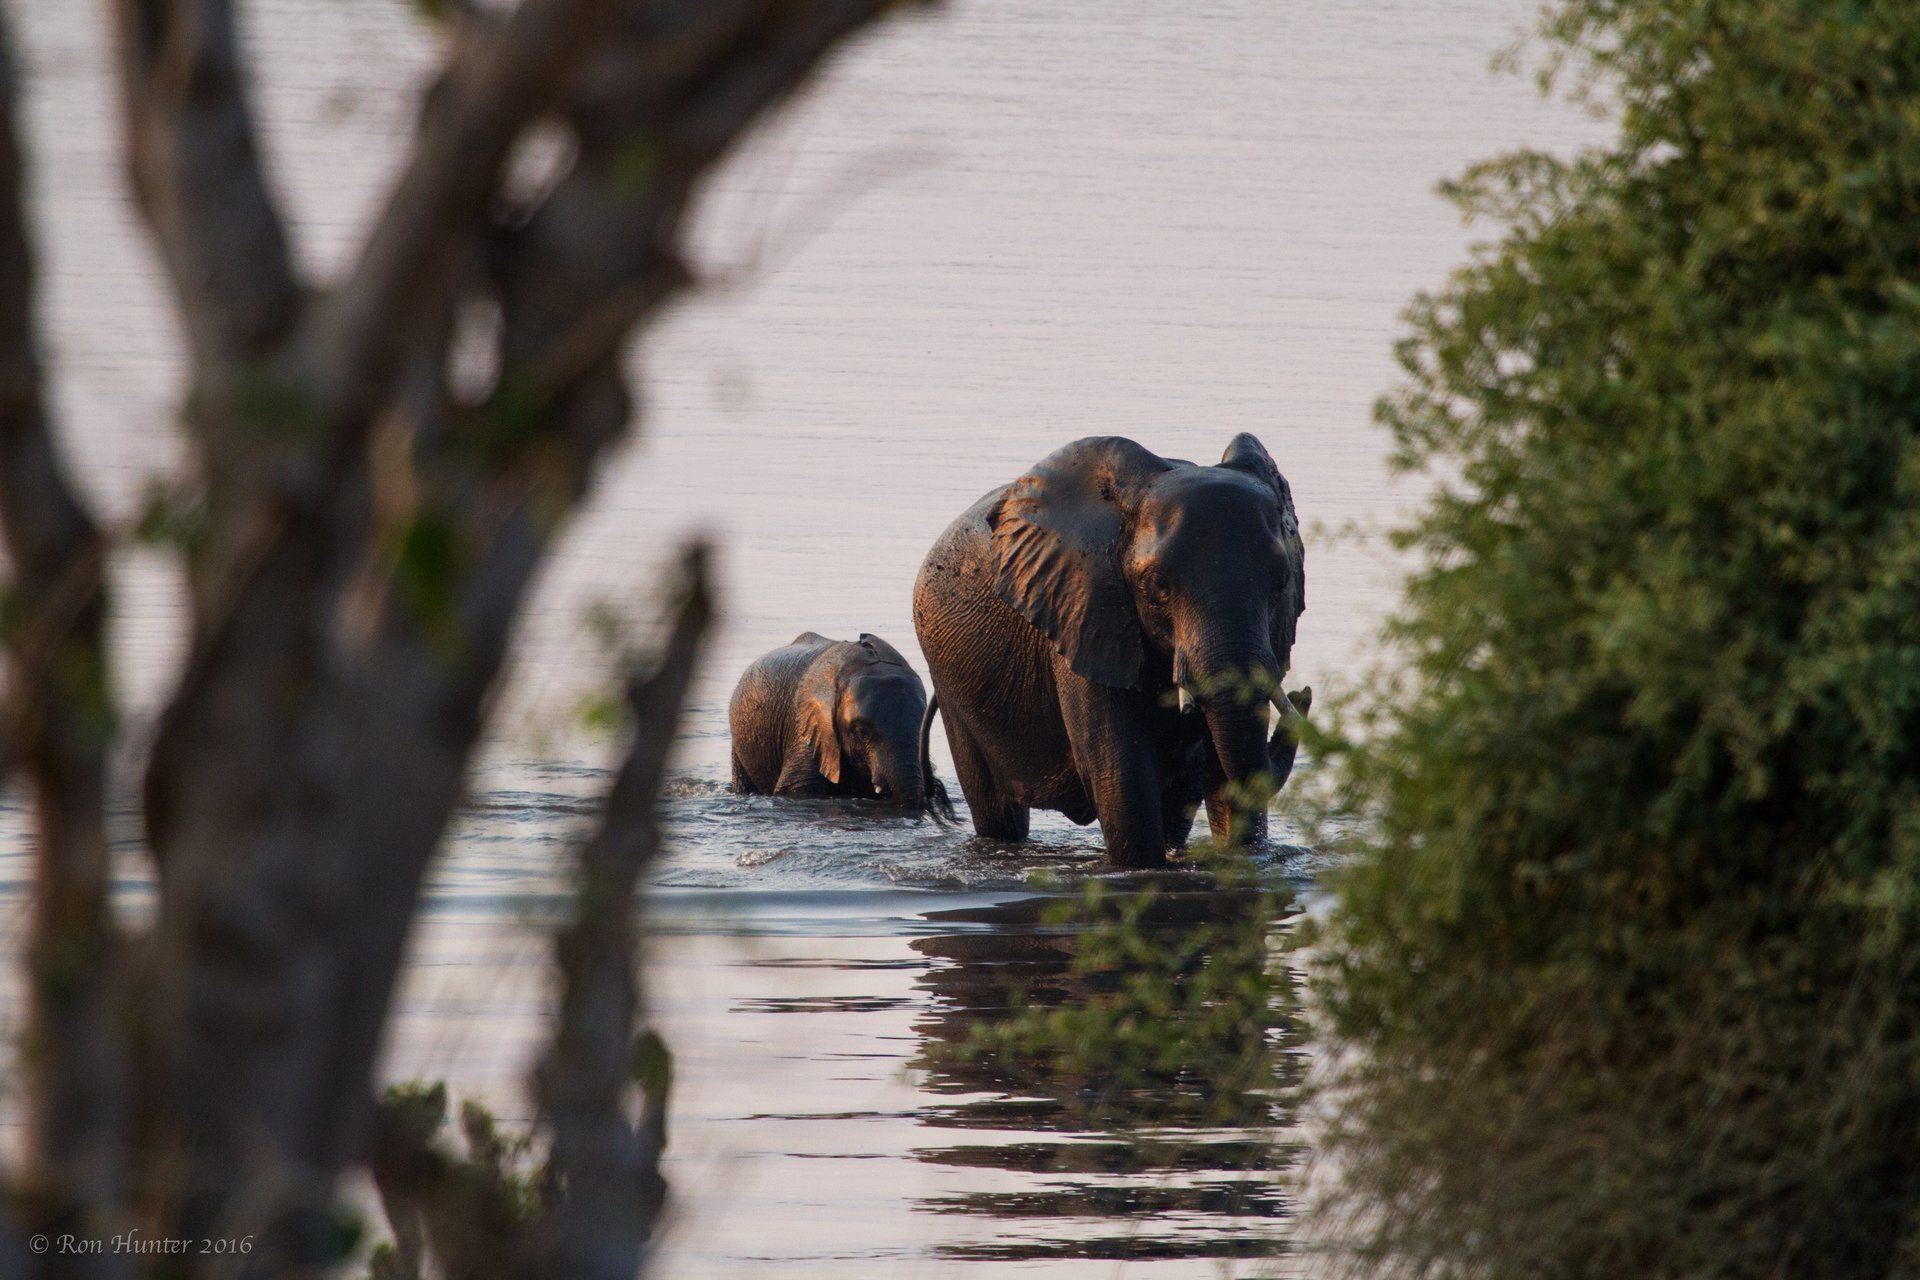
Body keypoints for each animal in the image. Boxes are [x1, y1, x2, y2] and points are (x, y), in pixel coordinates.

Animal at [912, 434, 1309, 868]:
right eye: (1158, 585)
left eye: (1282, 581)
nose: (1302, 697)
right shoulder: (1081, 611)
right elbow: (1124, 780)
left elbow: (1220, 772)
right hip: (948, 679)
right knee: (997, 813)